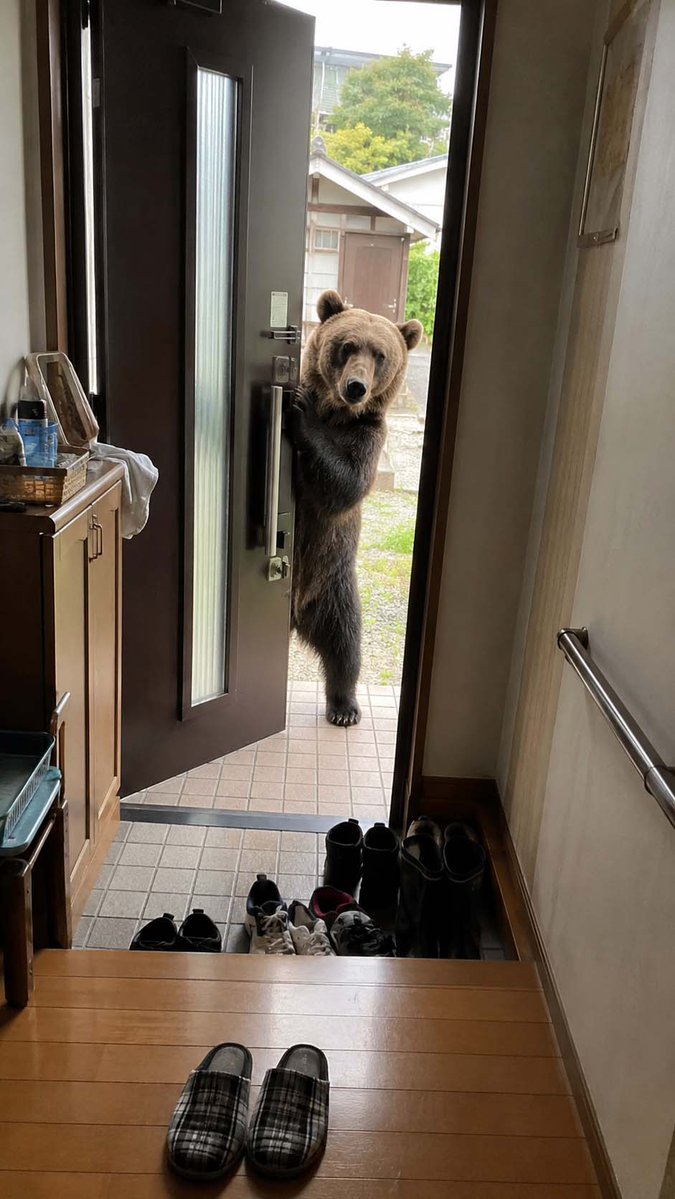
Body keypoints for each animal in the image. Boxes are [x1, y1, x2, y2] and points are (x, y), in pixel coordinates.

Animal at [289, 289, 423, 726]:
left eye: (380, 354)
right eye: (347, 346)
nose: (356, 387)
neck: (338, 415)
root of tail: (298, 616)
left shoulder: (368, 437)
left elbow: (344, 486)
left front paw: (301, 414)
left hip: (335, 585)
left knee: (345, 645)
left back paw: (344, 706)